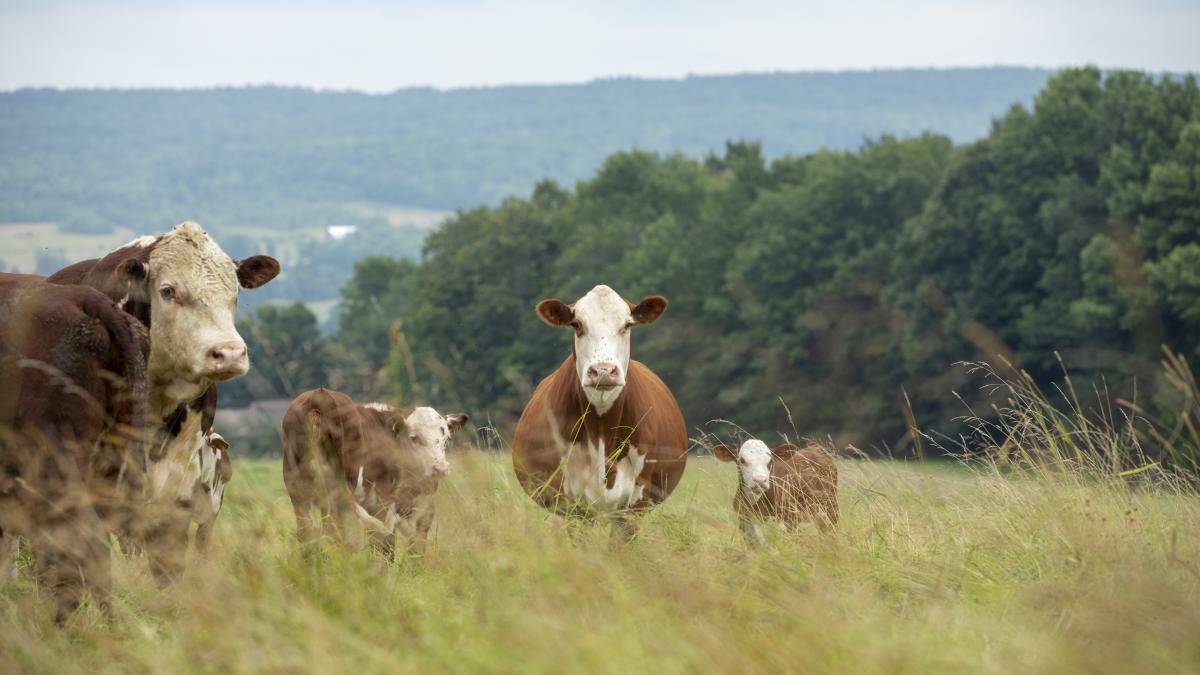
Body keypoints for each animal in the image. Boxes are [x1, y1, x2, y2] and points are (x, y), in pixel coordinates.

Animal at [281, 388, 468, 558]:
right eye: (414, 437)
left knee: (308, 533)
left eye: (446, 439)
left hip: (300, 493)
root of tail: (319, 394)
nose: (441, 468)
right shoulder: (393, 502)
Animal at [512, 284, 688, 540]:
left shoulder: (635, 503)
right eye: (577, 324)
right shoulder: (572, 505)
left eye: (627, 325)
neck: (601, 430)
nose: (603, 371)